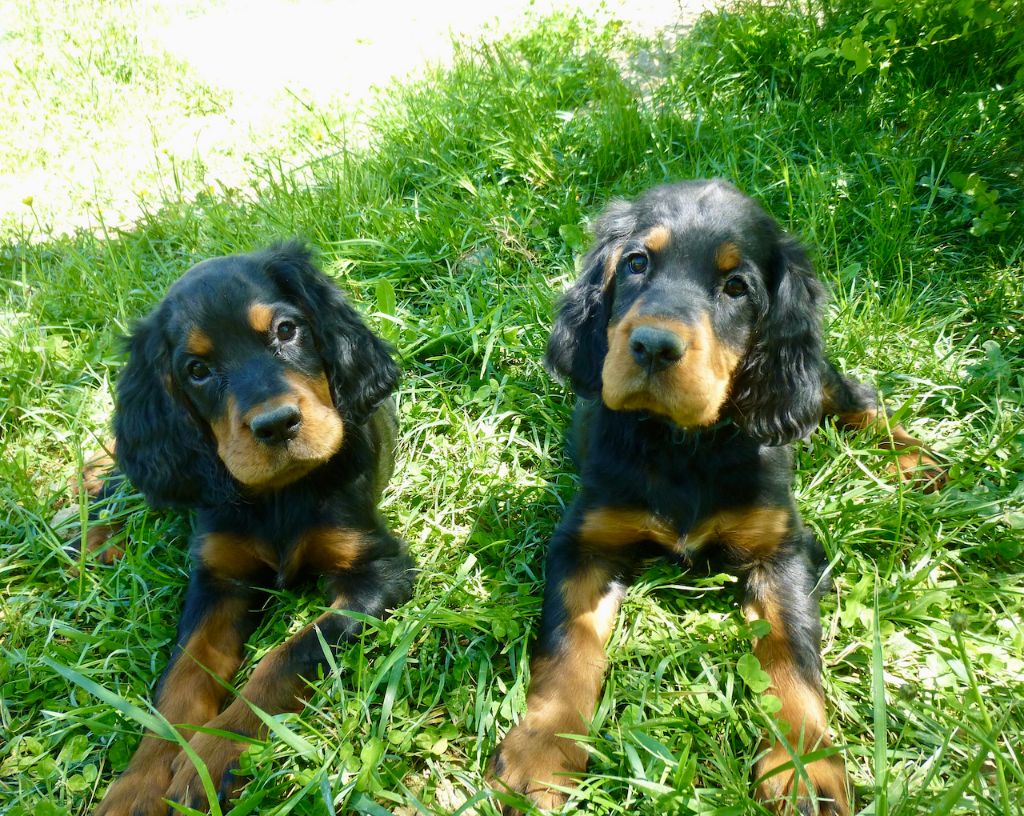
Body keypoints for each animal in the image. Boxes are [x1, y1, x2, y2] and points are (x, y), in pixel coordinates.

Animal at [94, 241, 413, 814]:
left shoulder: (379, 572)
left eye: (287, 330)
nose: (276, 424)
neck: (280, 495)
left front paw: (214, 756)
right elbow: (181, 680)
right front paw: (138, 783)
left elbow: (291, 654)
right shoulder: (218, 578)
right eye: (197, 369)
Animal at [487, 180, 942, 814]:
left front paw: (803, 764)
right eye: (636, 263)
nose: (652, 346)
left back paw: (916, 459)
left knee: (857, 398)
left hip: (816, 383)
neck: (684, 444)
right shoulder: (586, 543)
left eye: (736, 287)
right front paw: (541, 751)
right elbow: (566, 646)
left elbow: (791, 653)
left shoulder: (781, 552)